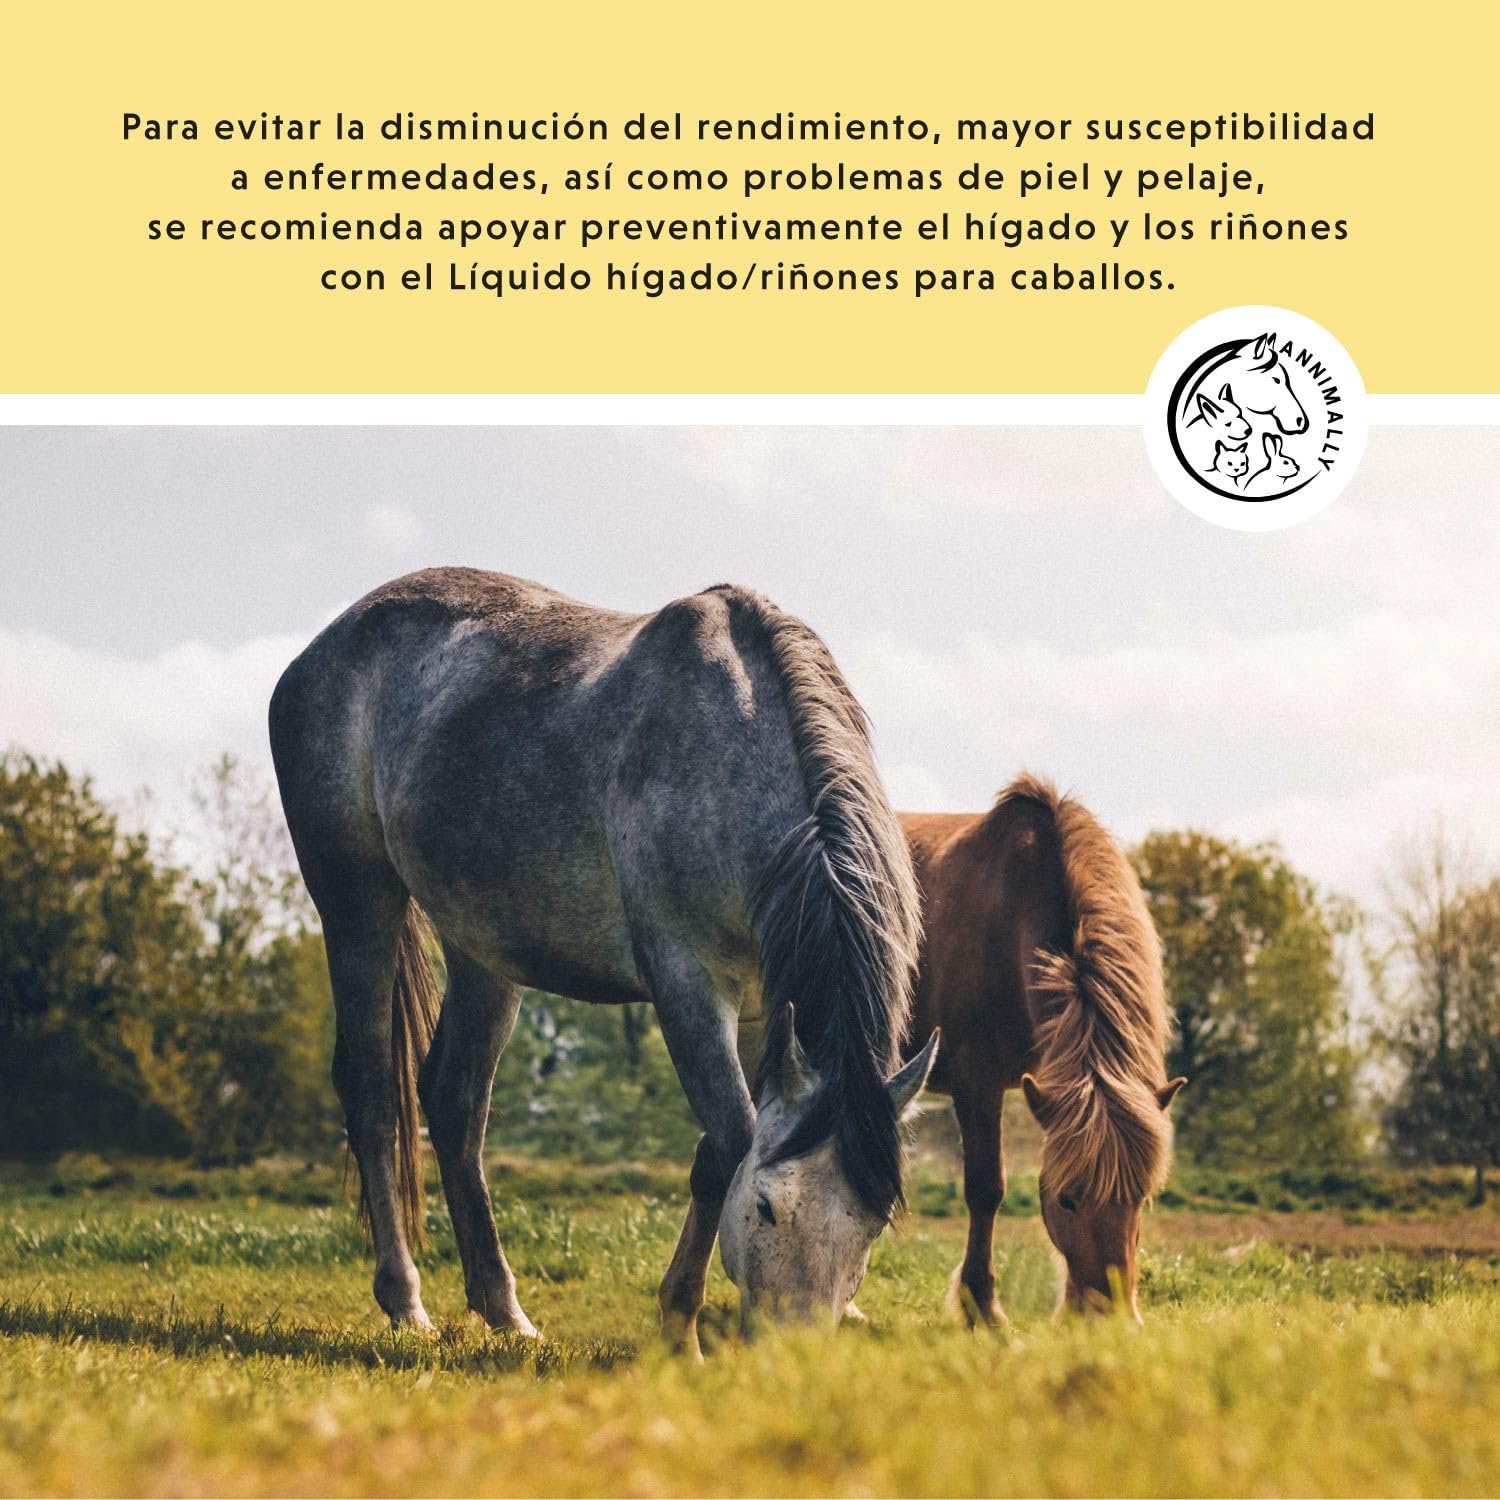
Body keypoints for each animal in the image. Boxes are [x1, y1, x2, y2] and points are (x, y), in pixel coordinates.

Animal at [269, 567, 938, 1354]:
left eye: (872, 1223)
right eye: (770, 1208)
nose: (792, 1353)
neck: (733, 751)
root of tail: (324, 647)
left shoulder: (761, 1010)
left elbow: (715, 1155)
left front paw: (677, 1320)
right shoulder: (686, 985)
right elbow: (731, 1143)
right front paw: (682, 1333)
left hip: (481, 948)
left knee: (454, 1102)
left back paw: (504, 1310)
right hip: (357, 905)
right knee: (375, 1096)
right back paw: (405, 1302)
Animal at [902, 776, 1185, 1324]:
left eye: (1140, 1198)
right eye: (1066, 1199)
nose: (1109, 1317)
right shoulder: (976, 1082)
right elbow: (986, 1189)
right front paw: (983, 1308)